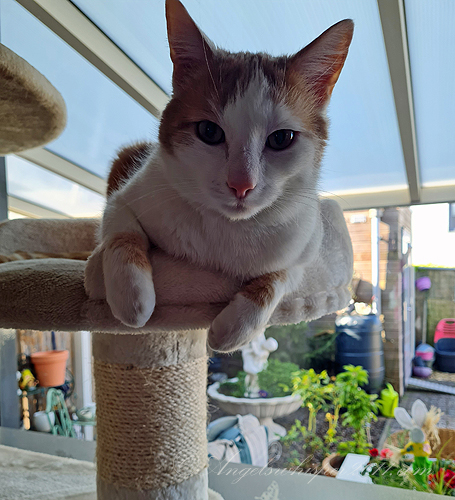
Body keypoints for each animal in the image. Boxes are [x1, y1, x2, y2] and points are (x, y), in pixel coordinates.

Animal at [88, 0, 354, 353]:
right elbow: (123, 233)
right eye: (209, 132)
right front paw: (133, 296)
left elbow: (280, 277)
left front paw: (235, 327)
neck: (226, 230)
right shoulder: (126, 198)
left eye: (282, 139)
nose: (241, 184)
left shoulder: (305, 250)